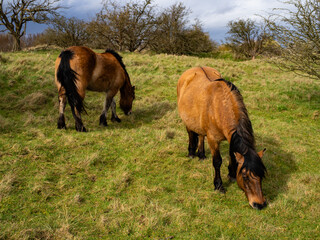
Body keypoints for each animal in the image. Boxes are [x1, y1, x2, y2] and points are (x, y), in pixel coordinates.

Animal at [178, 66, 268, 209]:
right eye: (245, 176)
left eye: (261, 175)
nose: (259, 204)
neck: (219, 106)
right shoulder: (213, 140)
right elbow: (217, 162)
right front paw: (218, 185)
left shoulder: (231, 137)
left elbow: (233, 156)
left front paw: (231, 174)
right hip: (187, 121)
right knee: (191, 134)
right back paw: (191, 152)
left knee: (201, 135)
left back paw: (201, 154)